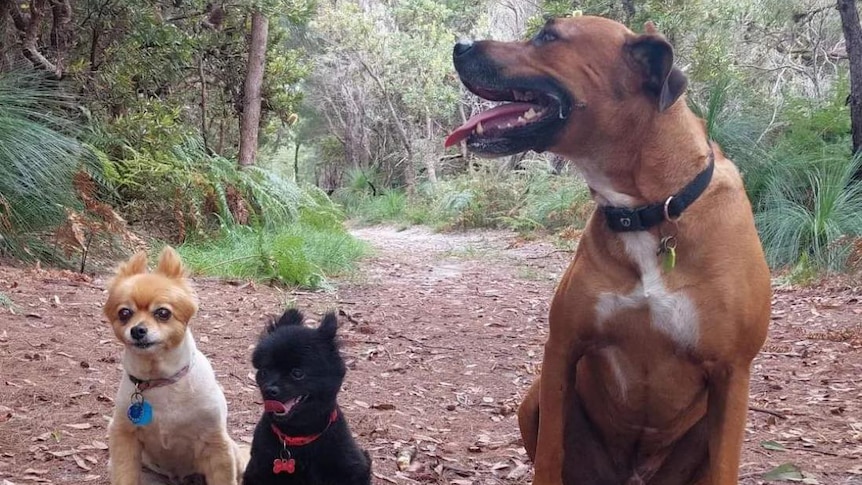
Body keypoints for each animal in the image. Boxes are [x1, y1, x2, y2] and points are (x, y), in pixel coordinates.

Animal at [448, 15, 772, 484]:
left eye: (548, 36)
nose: (460, 45)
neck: (649, 211)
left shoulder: (732, 373)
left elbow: (725, 466)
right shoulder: (563, 348)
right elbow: (549, 454)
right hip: (534, 401)